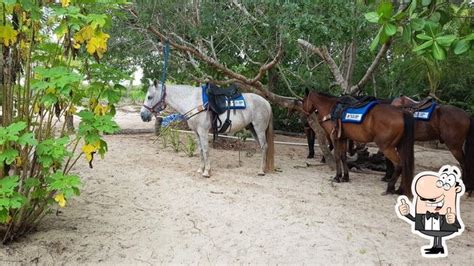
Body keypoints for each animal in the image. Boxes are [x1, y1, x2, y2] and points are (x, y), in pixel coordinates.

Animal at [140, 81, 274, 177]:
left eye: (149, 97)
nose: (142, 115)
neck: (193, 101)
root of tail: (266, 102)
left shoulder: (203, 131)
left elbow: (205, 150)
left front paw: (207, 172)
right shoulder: (196, 132)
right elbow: (200, 150)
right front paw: (201, 169)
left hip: (259, 129)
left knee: (264, 146)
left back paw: (261, 171)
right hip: (252, 129)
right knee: (262, 147)